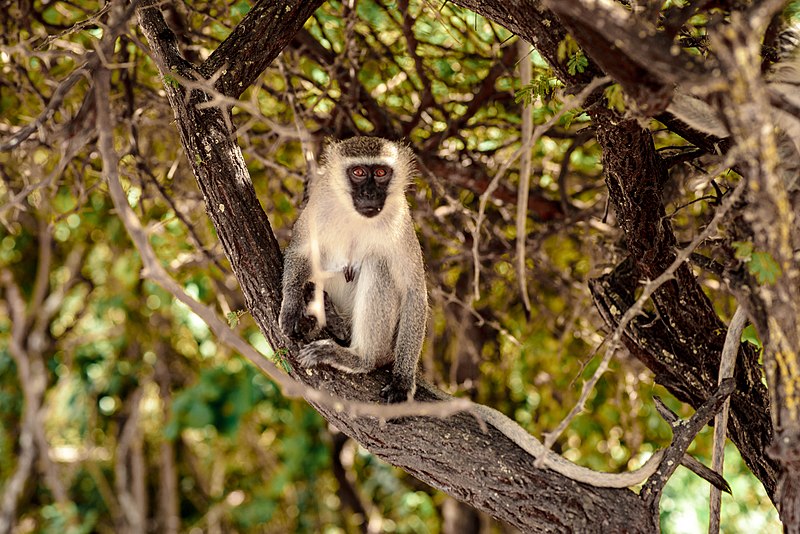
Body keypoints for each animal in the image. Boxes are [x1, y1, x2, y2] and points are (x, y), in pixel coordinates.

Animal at [282, 136, 432, 404]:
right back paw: (333, 321)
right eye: (359, 172)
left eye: (381, 172)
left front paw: (403, 381)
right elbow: (301, 251)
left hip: (388, 345)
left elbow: (414, 292)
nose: (370, 193)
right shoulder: (319, 202)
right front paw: (290, 306)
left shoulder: (401, 221)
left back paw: (359, 358)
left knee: (377, 263)